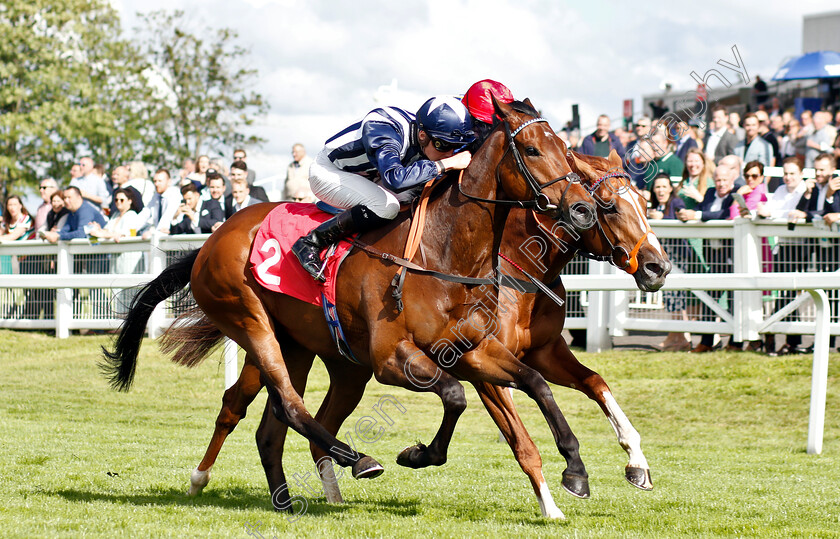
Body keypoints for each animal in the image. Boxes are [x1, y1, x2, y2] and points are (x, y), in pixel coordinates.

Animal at [103, 99, 596, 512]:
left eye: (567, 151)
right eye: (531, 150)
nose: (582, 208)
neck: (443, 252)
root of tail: (211, 241)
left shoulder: (470, 349)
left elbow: (536, 382)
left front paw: (575, 470)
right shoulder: (391, 358)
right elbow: (455, 395)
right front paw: (418, 454)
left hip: (301, 346)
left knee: (271, 421)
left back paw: (286, 498)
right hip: (251, 322)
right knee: (288, 406)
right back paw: (353, 460)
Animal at [180, 149, 672, 520]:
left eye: (645, 203)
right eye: (610, 206)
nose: (658, 266)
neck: (514, 265)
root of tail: (218, 234)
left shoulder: (543, 351)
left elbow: (593, 383)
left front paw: (635, 463)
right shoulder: (475, 365)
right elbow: (518, 436)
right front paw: (551, 501)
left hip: (319, 355)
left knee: (282, 421)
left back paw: (314, 492)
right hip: (256, 327)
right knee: (254, 404)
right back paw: (204, 478)